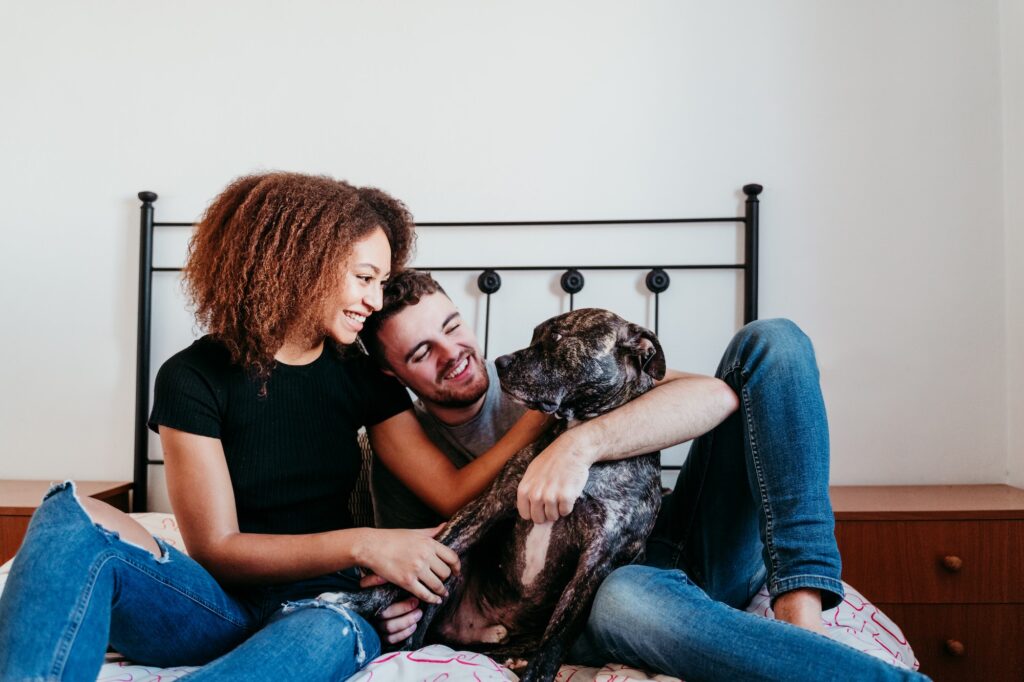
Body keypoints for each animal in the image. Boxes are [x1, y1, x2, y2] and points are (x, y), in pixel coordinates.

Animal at [325, 307, 663, 679]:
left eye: (557, 336)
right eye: (534, 334)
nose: (500, 362)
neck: (574, 433)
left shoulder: (601, 556)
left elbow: (559, 634)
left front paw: (537, 674)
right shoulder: (490, 503)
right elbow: (422, 559)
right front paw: (356, 601)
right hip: (453, 571)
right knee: (422, 626)